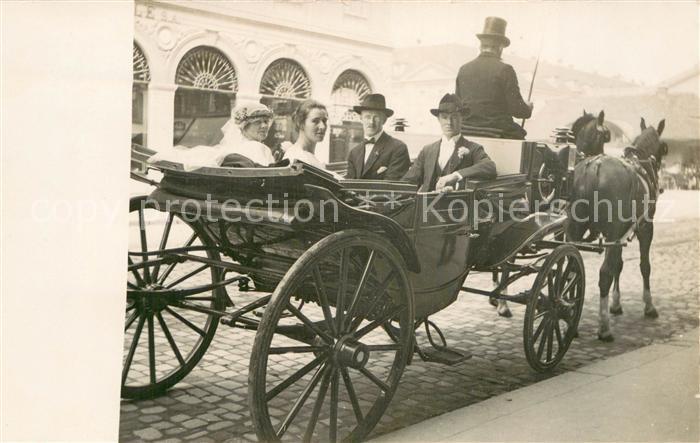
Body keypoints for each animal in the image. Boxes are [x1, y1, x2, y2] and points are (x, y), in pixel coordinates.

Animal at [568, 116, 668, 342]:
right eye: (662, 148)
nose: (660, 185)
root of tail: (593, 167)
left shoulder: (618, 233)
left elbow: (618, 265)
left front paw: (615, 303)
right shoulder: (645, 228)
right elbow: (644, 266)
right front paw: (648, 306)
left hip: (575, 230)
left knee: (569, 269)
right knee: (603, 275)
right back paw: (604, 328)